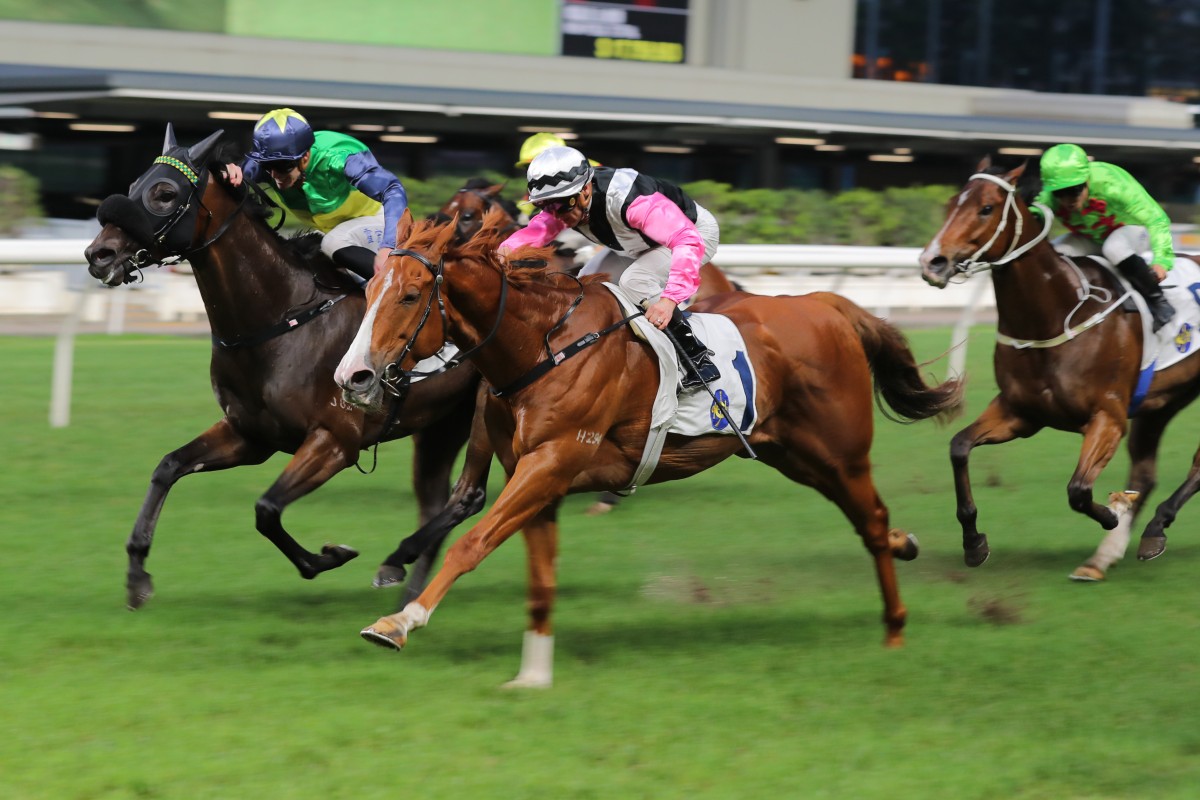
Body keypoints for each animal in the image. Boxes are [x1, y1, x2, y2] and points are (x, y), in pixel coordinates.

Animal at [81, 128, 482, 609]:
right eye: (136, 183)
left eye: (165, 193)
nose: (98, 254)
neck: (280, 319)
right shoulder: (249, 435)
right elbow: (168, 466)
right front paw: (137, 573)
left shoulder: (335, 441)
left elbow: (266, 510)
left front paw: (329, 555)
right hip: (441, 425)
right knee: (438, 499)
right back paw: (409, 589)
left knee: (468, 497)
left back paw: (398, 563)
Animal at [333, 208, 960, 690]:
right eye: (368, 290)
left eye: (410, 295)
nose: (352, 376)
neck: (543, 346)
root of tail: (829, 304)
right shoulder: (538, 478)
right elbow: (540, 580)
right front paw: (533, 676)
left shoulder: (551, 462)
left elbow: (472, 544)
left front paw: (398, 622)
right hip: (795, 454)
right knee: (869, 522)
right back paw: (905, 546)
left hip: (841, 452)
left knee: (871, 520)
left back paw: (895, 626)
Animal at [916, 158, 1200, 582]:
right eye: (952, 203)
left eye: (986, 208)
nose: (932, 262)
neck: (1052, 315)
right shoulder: (1020, 413)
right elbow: (959, 447)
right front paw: (973, 542)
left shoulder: (1108, 416)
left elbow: (1078, 490)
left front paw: (1114, 511)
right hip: (1162, 401)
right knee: (1146, 473)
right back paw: (1112, 553)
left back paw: (1153, 526)